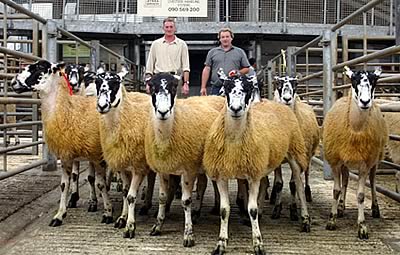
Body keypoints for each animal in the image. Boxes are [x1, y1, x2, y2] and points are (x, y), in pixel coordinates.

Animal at [11, 60, 111, 227]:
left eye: (40, 67)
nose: (13, 82)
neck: (68, 110)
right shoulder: (66, 154)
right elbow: (64, 185)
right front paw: (59, 215)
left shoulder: (96, 156)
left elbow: (100, 184)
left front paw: (108, 213)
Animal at [205, 74, 310, 254]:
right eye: (227, 87)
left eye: (247, 89)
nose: (236, 108)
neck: (235, 140)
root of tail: (279, 104)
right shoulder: (222, 175)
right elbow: (224, 210)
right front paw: (221, 243)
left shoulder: (253, 175)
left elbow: (252, 209)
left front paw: (258, 243)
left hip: (295, 153)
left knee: (299, 186)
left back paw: (304, 220)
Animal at [324, 66, 390, 239]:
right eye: (354, 81)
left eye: (374, 82)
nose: (365, 102)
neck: (355, 129)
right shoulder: (335, 161)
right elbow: (336, 190)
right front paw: (332, 220)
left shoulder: (365, 164)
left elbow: (360, 195)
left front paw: (362, 226)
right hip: (345, 160)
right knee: (346, 180)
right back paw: (341, 208)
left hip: (375, 158)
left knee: (372, 181)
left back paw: (375, 208)